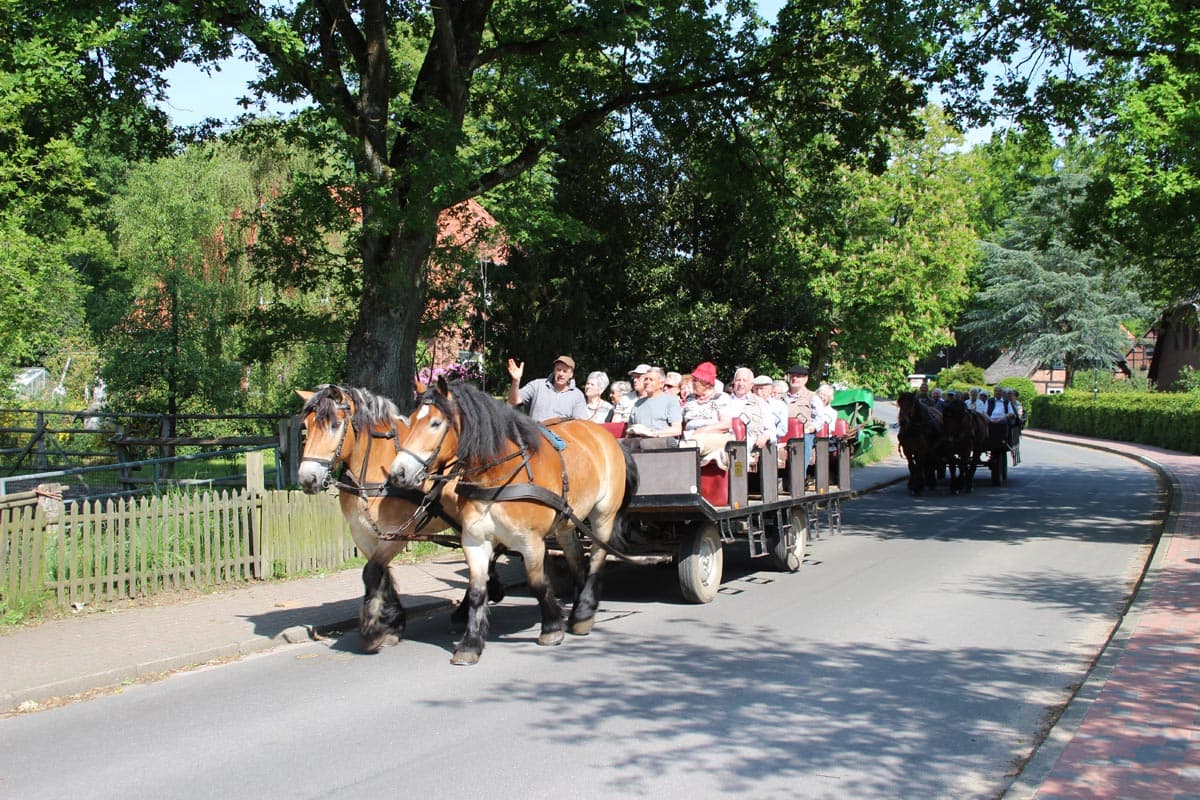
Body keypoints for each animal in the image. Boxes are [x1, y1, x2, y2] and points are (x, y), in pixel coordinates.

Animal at [300, 383, 506, 652]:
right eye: (306, 426)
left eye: (334, 425)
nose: (307, 478)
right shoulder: (363, 534)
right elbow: (380, 574)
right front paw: (392, 624)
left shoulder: (397, 534)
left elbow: (373, 571)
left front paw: (374, 630)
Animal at [391, 379, 638, 666]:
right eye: (410, 420)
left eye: (435, 423)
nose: (398, 472)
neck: (496, 476)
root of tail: (606, 438)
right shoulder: (474, 540)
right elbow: (477, 590)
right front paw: (470, 643)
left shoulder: (530, 541)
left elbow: (537, 583)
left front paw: (551, 628)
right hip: (566, 519)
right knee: (577, 558)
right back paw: (578, 605)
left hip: (603, 514)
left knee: (597, 557)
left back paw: (584, 613)